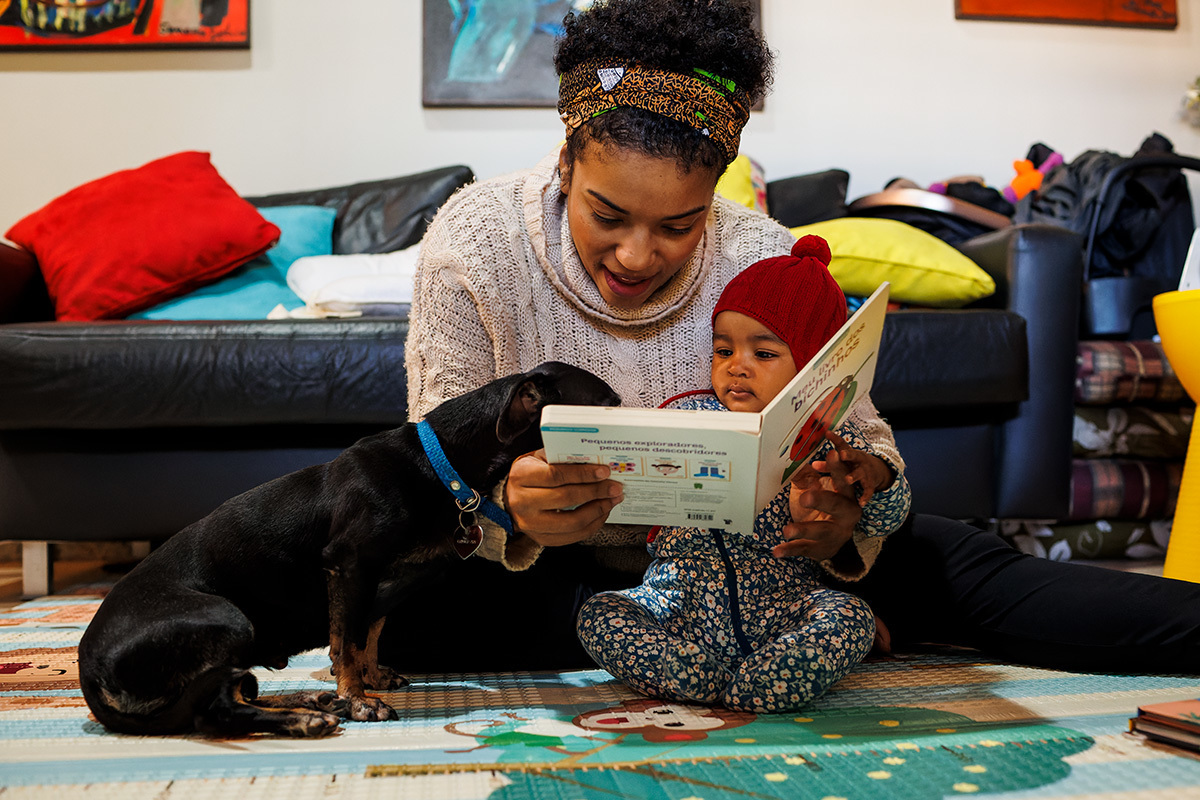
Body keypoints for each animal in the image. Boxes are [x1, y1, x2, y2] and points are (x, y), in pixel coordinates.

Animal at [77, 361, 621, 738]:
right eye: (608, 405)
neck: (438, 464)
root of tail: (88, 666)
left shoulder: (387, 580)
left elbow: (367, 635)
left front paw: (369, 679)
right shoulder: (349, 565)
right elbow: (345, 640)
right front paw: (360, 701)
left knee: (231, 692)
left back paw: (314, 704)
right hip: (229, 620)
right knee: (215, 710)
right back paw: (308, 718)